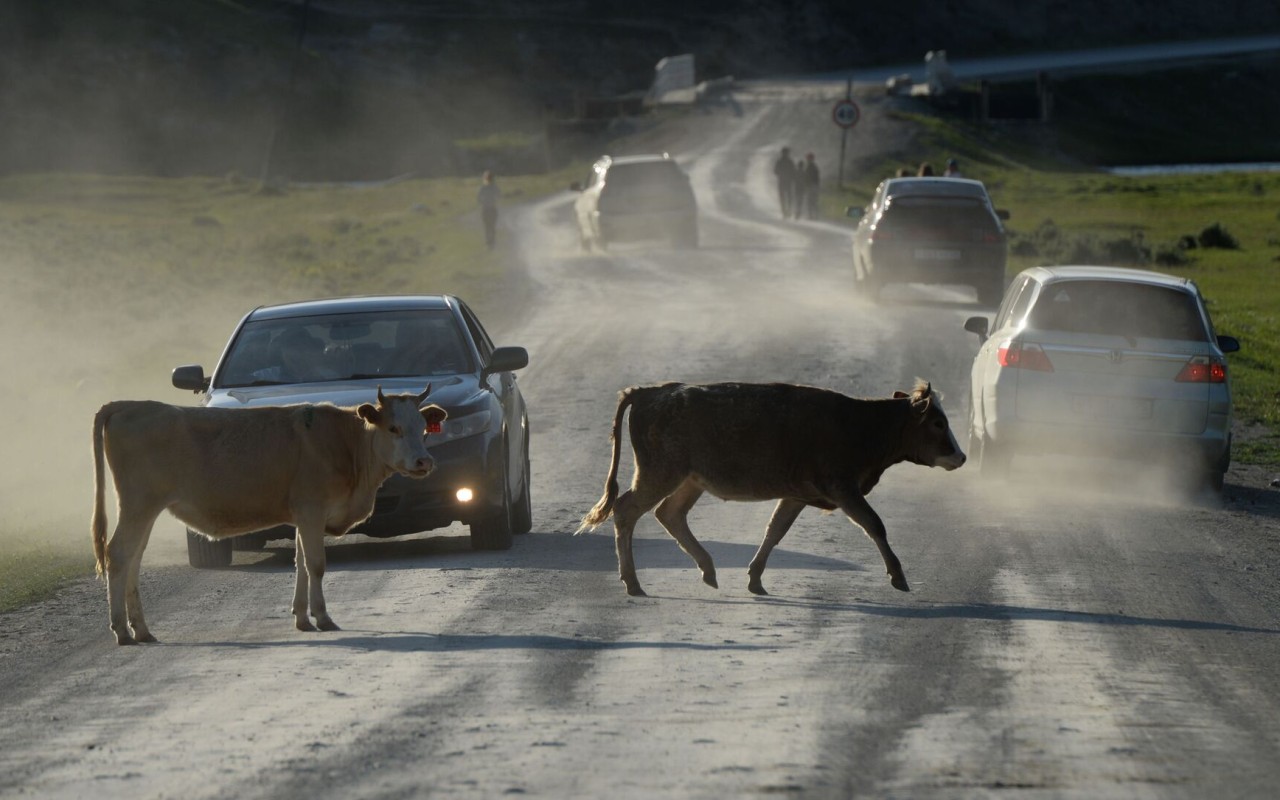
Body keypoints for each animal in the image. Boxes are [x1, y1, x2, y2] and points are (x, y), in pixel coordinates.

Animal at [92, 386, 448, 642]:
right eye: (393, 428)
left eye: (423, 428)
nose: (424, 461)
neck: (344, 444)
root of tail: (128, 404)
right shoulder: (312, 511)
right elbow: (316, 565)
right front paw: (323, 617)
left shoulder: (303, 517)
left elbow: (300, 564)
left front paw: (302, 617)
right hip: (139, 505)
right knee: (119, 555)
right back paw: (122, 630)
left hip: (145, 509)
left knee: (133, 560)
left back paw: (141, 628)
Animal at [578, 378, 962, 593]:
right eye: (938, 423)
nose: (961, 457)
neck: (862, 423)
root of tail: (650, 392)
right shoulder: (843, 488)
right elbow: (874, 525)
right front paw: (898, 576)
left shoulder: (796, 495)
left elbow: (775, 531)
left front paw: (755, 578)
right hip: (659, 474)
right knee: (626, 510)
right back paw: (633, 582)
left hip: (688, 480)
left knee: (669, 515)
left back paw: (707, 569)